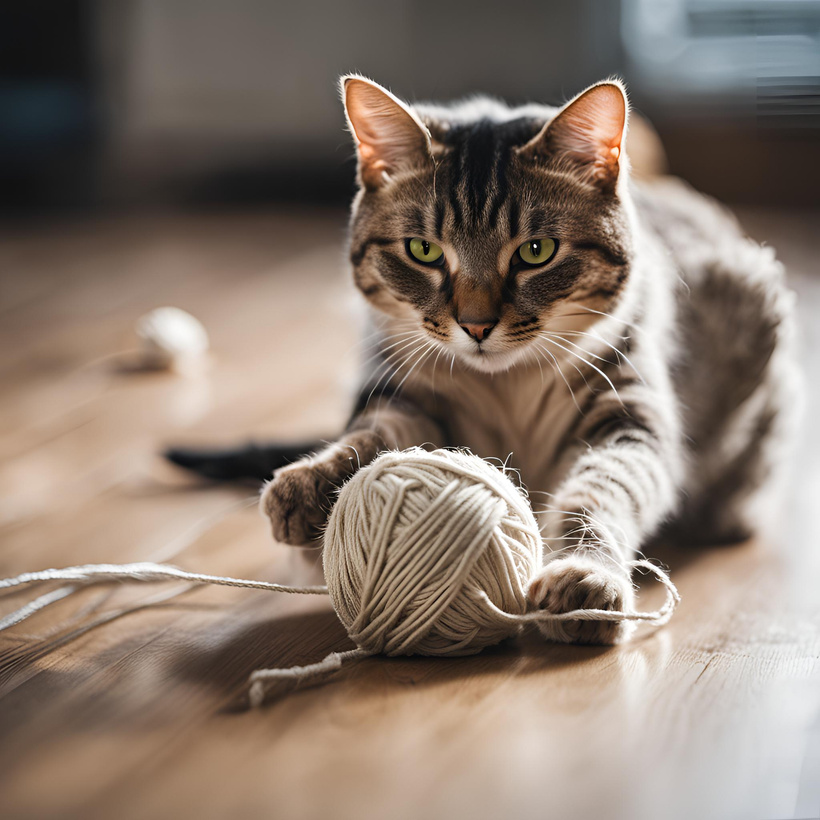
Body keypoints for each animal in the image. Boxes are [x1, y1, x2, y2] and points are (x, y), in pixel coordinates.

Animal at [163, 73, 796, 644]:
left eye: (536, 252)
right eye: (423, 250)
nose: (476, 325)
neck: (507, 386)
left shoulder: (628, 412)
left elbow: (602, 490)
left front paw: (584, 577)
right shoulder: (406, 394)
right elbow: (370, 438)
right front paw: (311, 483)